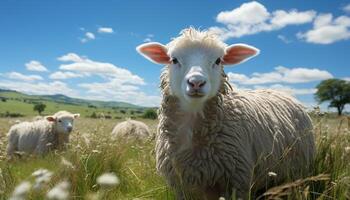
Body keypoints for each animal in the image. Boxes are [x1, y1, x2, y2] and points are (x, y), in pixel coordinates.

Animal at [138, 28, 316, 200]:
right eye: (174, 60)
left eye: (218, 61)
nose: (196, 82)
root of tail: (282, 92)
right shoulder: (181, 185)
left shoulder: (238, 181)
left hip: (298, 171)